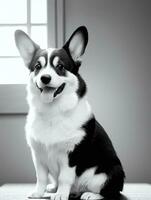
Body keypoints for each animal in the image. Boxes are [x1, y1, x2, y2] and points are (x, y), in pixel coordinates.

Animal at [14, 26, 125, 200]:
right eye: (37, 67)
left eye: (60, 67)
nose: (45, 78)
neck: (52, 112)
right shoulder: (38, 155)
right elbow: (41, 177)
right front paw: (39, 193)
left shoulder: (70, 156)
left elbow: (64, 178)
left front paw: (61, 194)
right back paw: (53, 188)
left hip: (108, 174)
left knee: (111, 192)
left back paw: (90, 195)